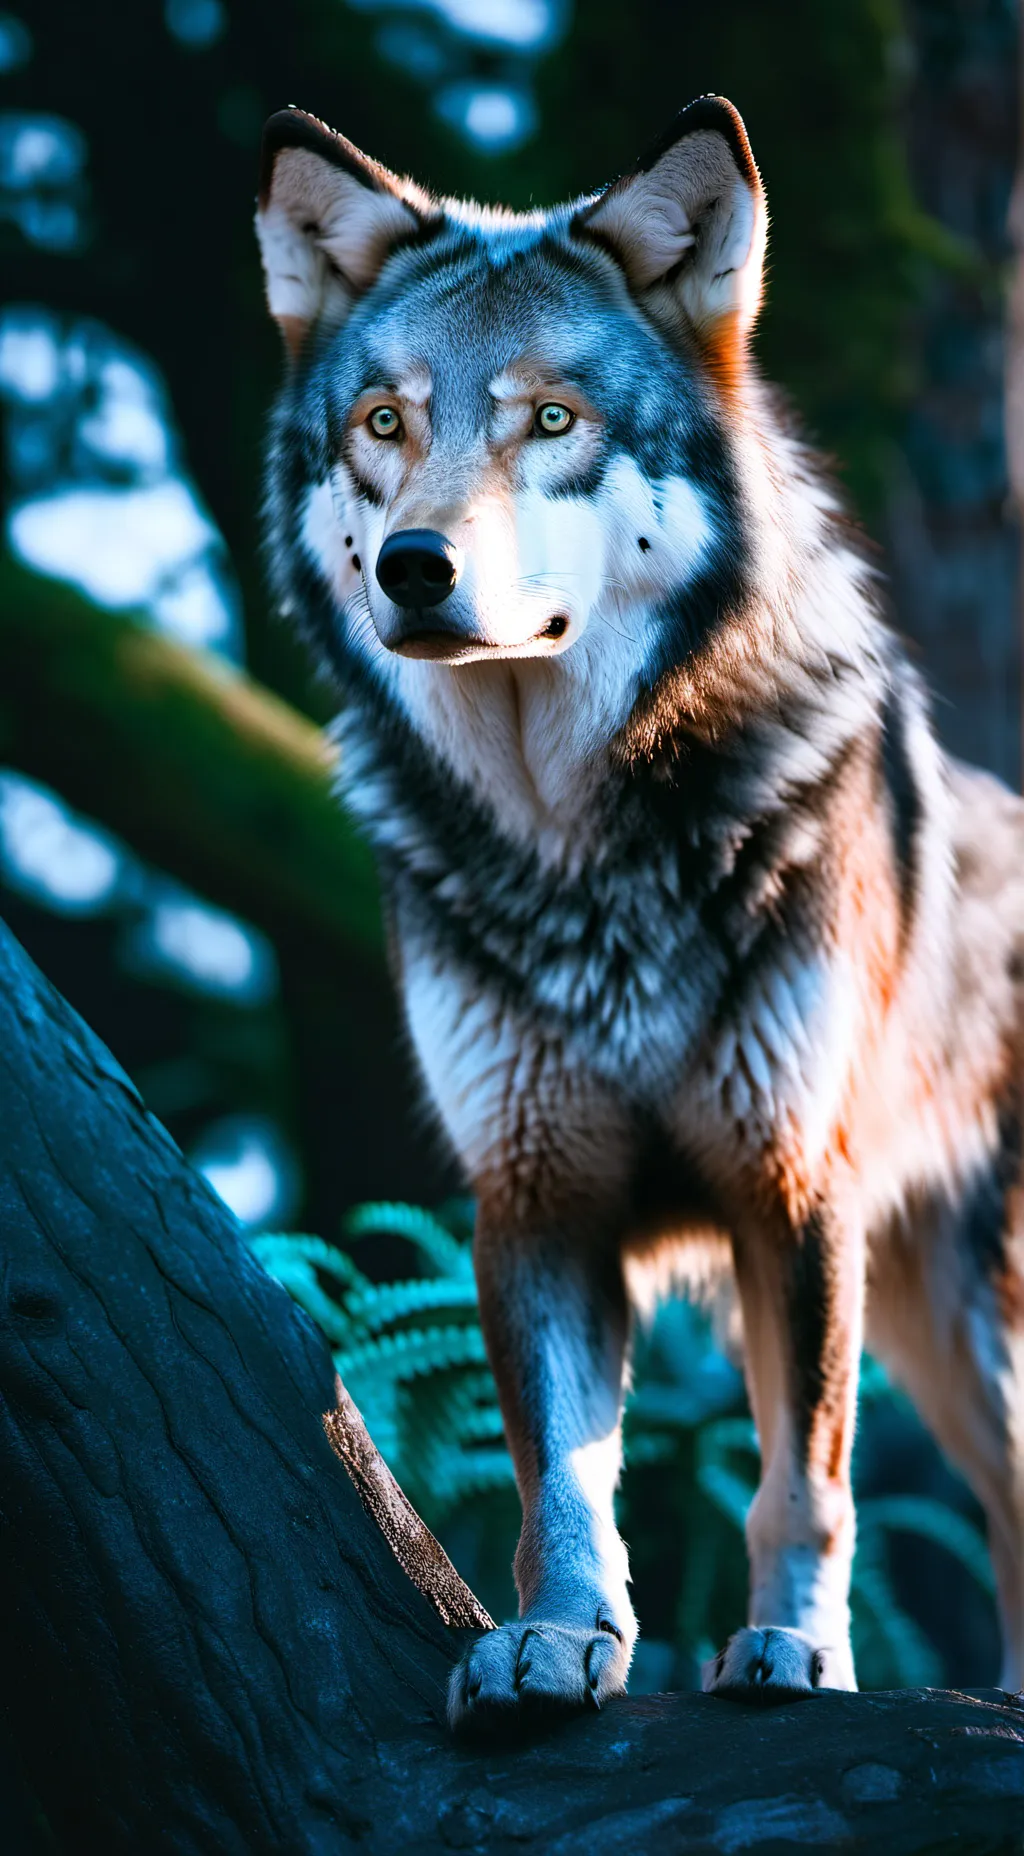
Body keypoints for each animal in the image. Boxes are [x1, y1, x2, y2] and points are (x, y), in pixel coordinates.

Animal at [256, 94, 1024, 1723]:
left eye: (551, 423)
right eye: (384, 426)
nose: (416, 568)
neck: (579, 854)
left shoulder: (790, 1188)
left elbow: (802, 1483)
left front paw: (795, 1653)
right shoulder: (536, 1193)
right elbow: (562, 1475)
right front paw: (555, 1638)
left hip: (969, 1321)